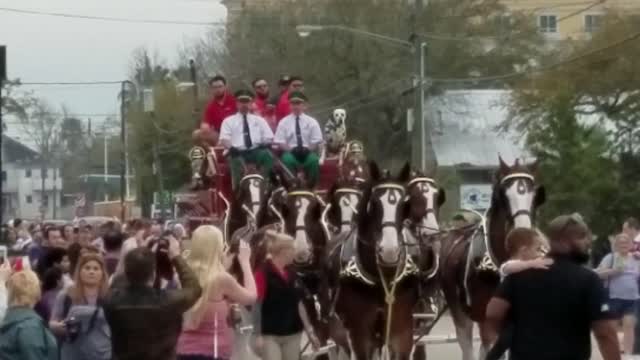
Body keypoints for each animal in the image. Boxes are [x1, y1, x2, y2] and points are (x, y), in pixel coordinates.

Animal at [440, 158, 544, 360]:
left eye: (534, 194)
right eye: (504, 195)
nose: (523, 233)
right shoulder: (486, 319)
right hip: (459, 310)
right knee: (467, 344)